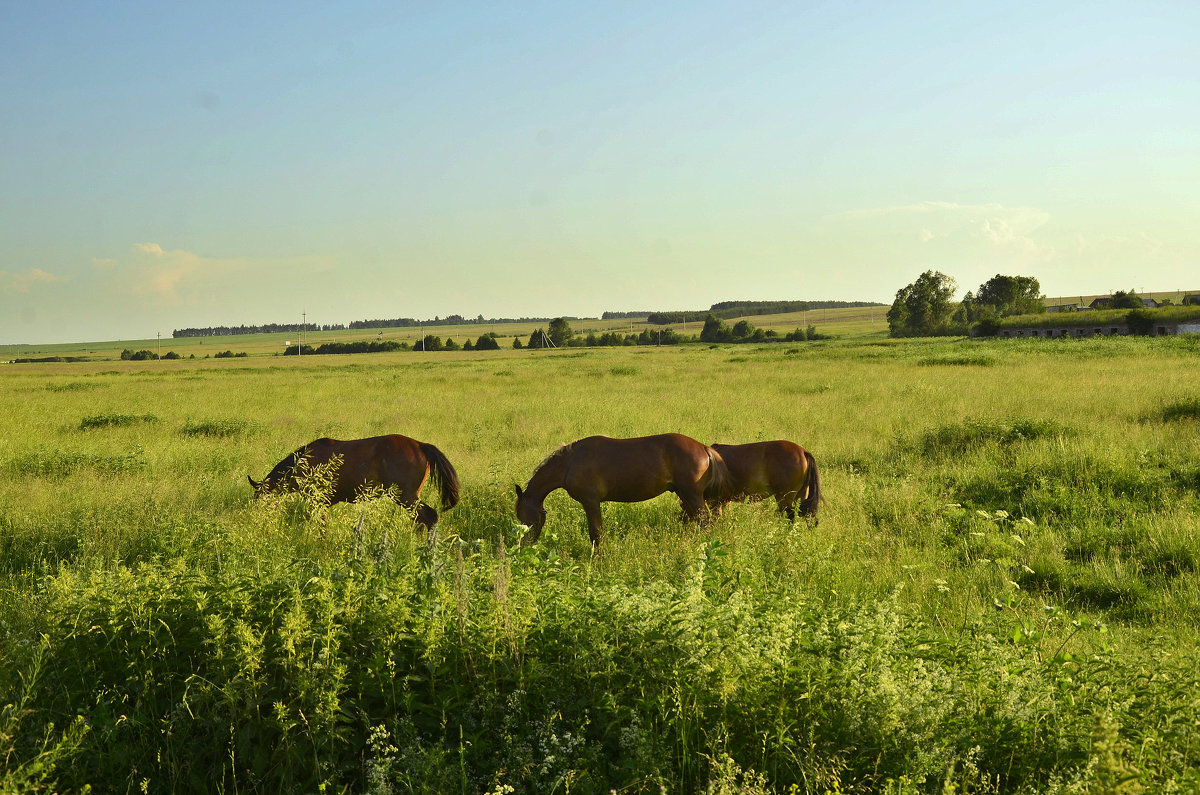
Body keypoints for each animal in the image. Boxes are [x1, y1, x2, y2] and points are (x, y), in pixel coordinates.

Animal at [248, 437, 458, 528]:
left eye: (260, 499)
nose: (256, 519)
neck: (304, 462)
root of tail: (421, 446)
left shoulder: (317, 501)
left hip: (405, 496)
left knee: (429, 517)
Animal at [511, 437, 724, 547]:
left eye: (522, 516)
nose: (524, 545)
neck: (570, 463)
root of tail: (703, 448)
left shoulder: (590, 502)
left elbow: (596, 534)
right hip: (684, 495)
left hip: (692, 495)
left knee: (705, 521)